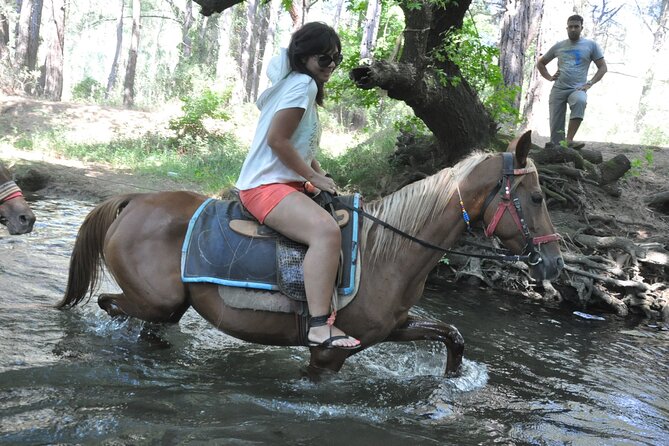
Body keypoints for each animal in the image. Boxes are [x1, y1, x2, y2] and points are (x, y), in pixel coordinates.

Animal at [57, 131, 560, 378]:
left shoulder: (393, 327)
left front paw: (452, 379)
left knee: (138, 321)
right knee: (111, 304)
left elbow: (452, 335)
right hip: (157, 300)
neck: (387, 253)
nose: (553, 262)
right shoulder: (327, 357)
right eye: (536, 197)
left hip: (170, 305)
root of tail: (134, 200)